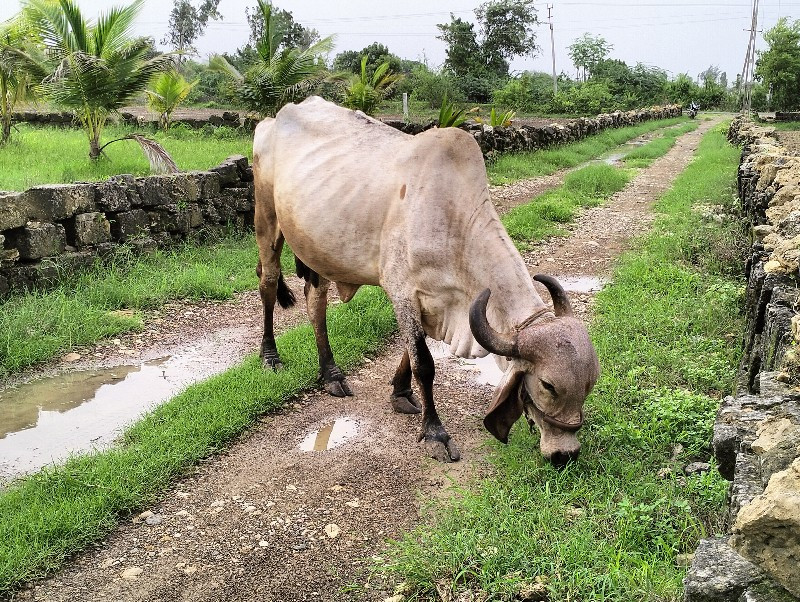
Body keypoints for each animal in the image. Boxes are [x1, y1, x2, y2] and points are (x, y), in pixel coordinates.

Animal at [253, 97, 596, 464]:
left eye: (590, 385)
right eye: (548, 386)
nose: (565, 455)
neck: (453, 219)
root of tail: (277, 116)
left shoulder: (436, 302)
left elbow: (412, 351)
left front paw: (401, 393)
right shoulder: (402, 292)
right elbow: (424, 364)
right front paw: (434, 433)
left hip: (316, 247)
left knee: (314, 299)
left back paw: (330, 373)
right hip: (267, 222)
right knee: (268, 284)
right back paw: (270, 356)